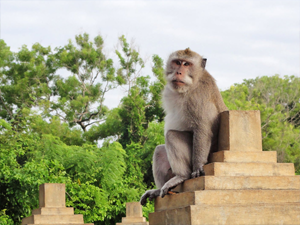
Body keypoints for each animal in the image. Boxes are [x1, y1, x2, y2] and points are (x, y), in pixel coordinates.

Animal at [140, 48, 227, 205]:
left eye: (186, 64)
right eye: (177, 62)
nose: (179, 72)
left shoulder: (198, 97)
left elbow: (203, 127)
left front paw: (198, 166)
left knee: (172, 135)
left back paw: (182, 176)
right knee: (159, 150)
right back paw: (158, 189)